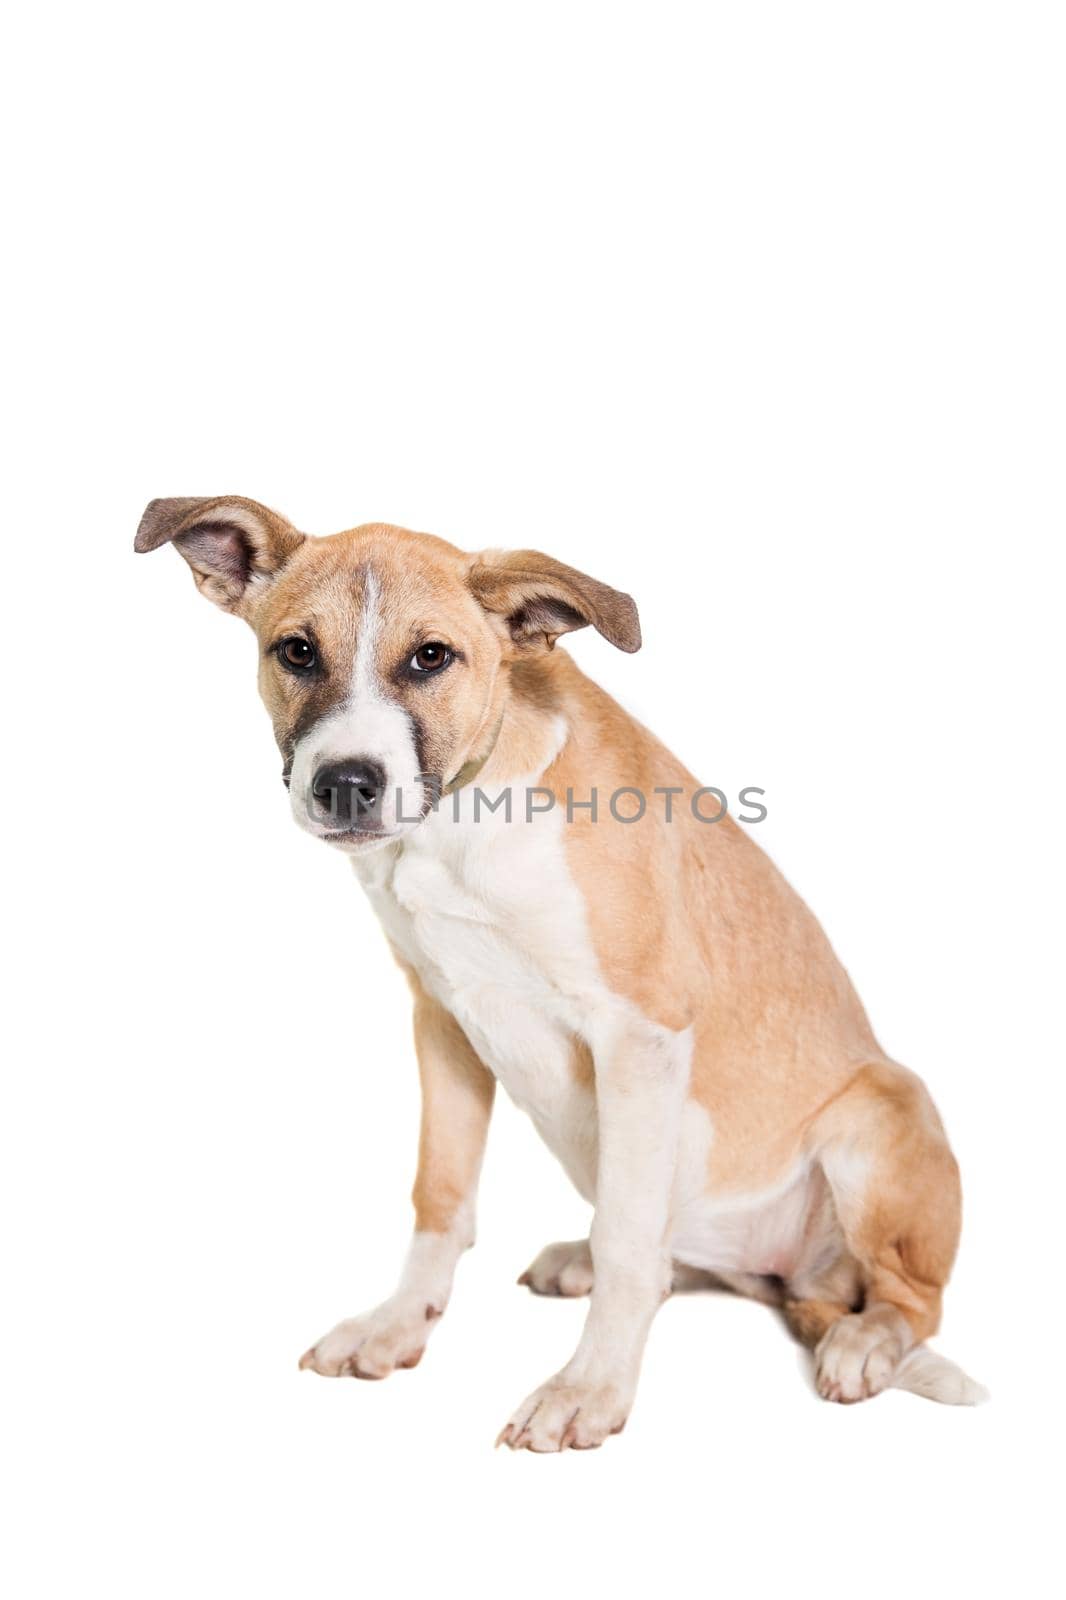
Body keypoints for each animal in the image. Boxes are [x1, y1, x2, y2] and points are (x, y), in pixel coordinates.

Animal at [136, 496, 985, 1452]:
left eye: (432, 657)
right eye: (297, 652)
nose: (345, 785)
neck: (461, 819)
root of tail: (800, 1279)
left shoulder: (640, 1034)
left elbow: (628, 1241)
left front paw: (591, 1388)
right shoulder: (442, 1017)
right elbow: (442, 1195)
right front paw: (397, 1325)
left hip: (876, 1118)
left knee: (905, 1299)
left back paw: (865, 1340)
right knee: (686, 1257)